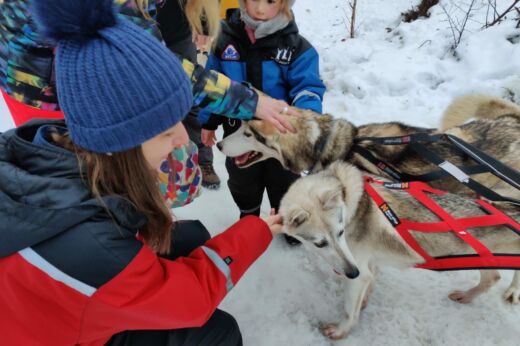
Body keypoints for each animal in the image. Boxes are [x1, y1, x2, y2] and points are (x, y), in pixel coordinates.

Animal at [280, 162, 520, 340]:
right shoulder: (368, 266)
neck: (349, 201)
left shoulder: (359, 272)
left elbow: (350, 310)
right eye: (320, 243)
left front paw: (341, 331)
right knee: (493, 277)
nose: (351, 272)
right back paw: (466, 296)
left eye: (340, 232)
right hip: (482, 258)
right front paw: (364, 302)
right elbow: (368, 286)